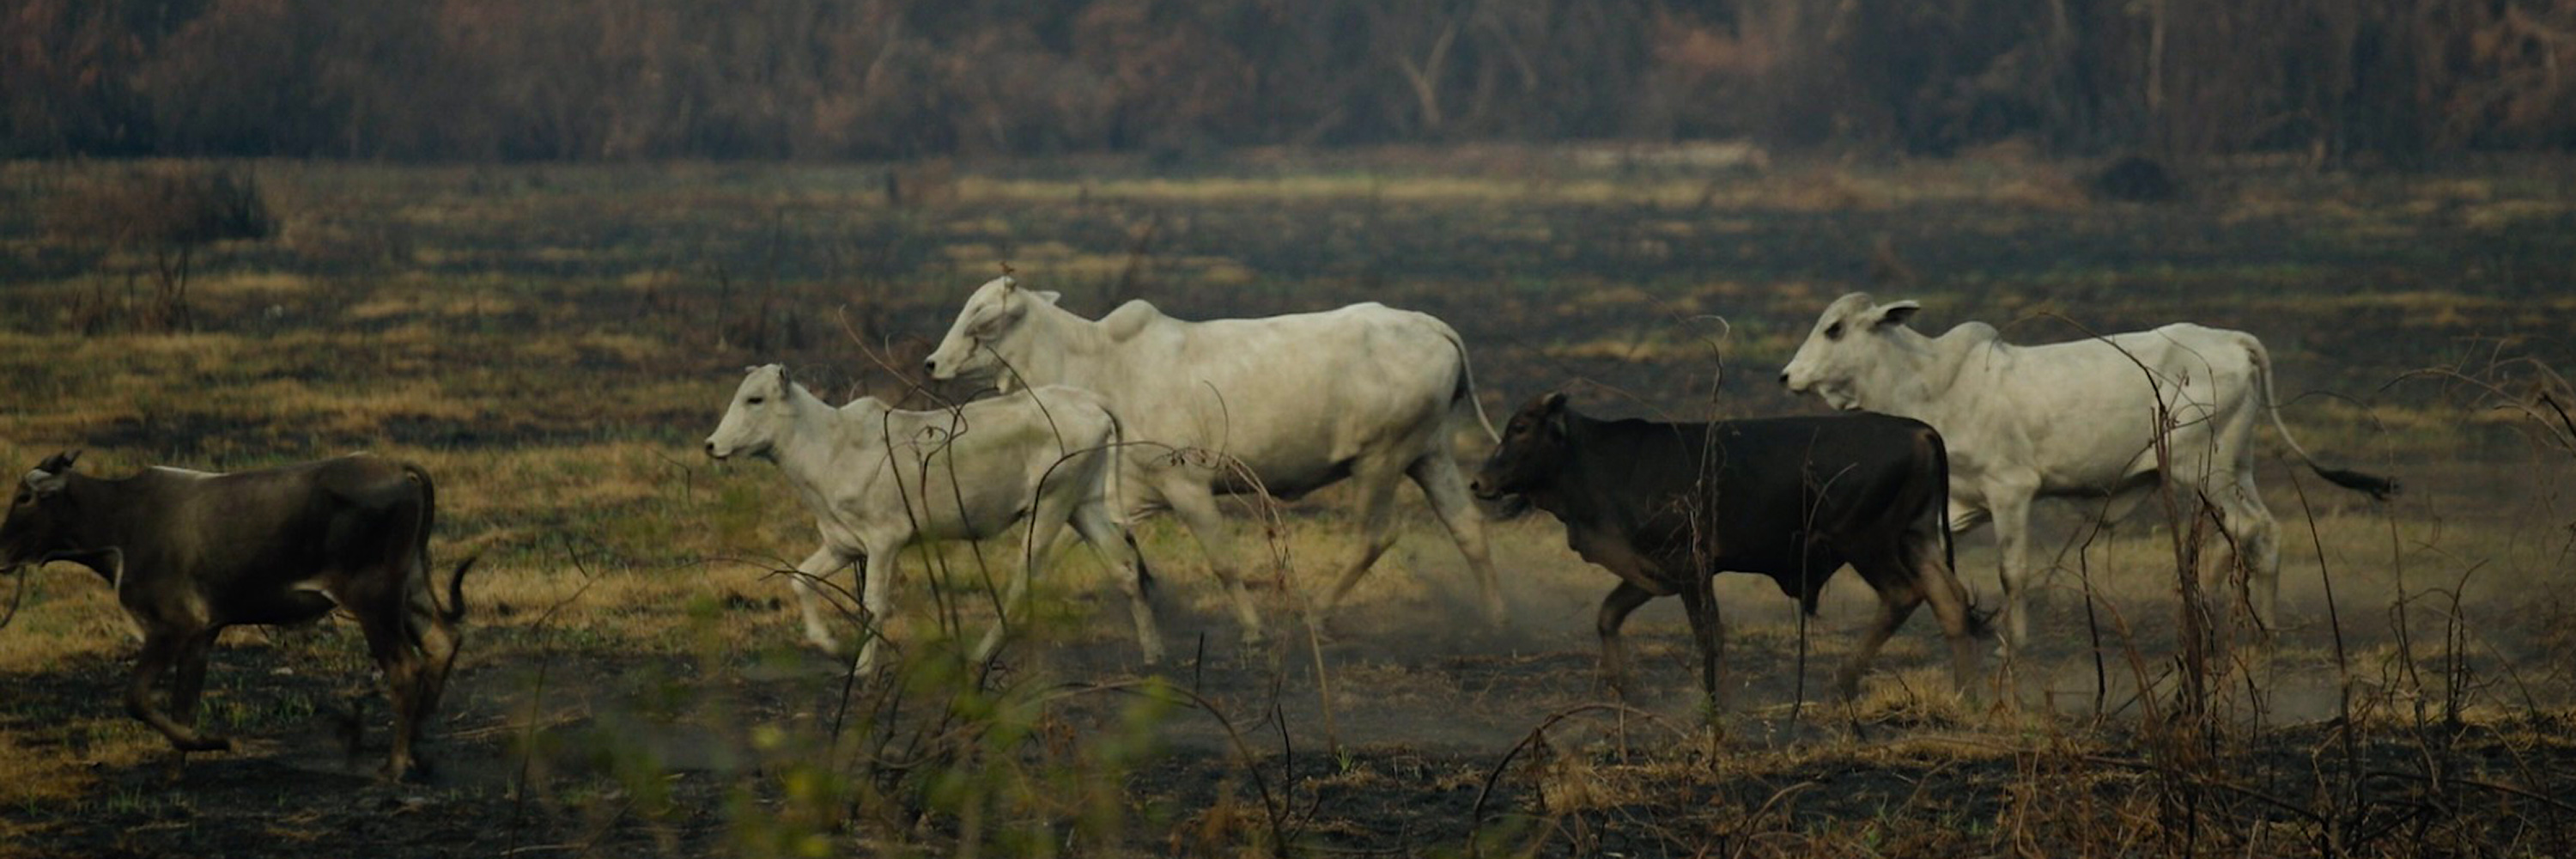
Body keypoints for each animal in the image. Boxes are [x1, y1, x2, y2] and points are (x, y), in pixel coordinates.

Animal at [2, 451, 477, 778]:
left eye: (24, 498)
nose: (1, 551)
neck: (124, 520)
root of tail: (396, 466)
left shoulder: (172, 627)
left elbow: (137, 698)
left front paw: (212, 743)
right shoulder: (202, 633)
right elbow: (183, 704)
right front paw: (179, 765)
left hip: (373, 601)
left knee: (405, 669)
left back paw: (393, 766)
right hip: (408, 587)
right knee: (441, 642)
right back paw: (417, 750)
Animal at [701, 361, 1154, 670]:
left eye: (755, 399)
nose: (711, 445)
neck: (829, 447)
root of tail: (1088, 400)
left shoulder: (885, 540)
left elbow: (874, 604)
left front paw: (864, 669)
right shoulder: (841, 544)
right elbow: (800, 580)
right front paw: (828, 644)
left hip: (1051, 506)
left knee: (1022, 584)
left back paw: (979, 656)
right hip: (1085, 505)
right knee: (1125, 566)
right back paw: (1154, 655)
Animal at [922, 276, 1504, 642]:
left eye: (982, 320)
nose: (932, 363)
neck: (1098, 364)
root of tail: (1431, 326)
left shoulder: (1186, 485)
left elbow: (1223, 563)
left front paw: (1253, 631)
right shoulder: (1122, 495)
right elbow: (1075, 556)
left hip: (1382, 459)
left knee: (1374, 536)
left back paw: (1317, 615)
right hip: (1429, 453)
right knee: (1468, 527)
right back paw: (1495, 618)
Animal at [1473, 394, 1989, 701]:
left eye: (1521, 428)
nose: (1480, 482)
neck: (1602, 462)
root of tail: (1918, 430)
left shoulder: (1689, 568)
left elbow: (1710, 636)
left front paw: (1717, 703)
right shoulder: (1654, 572)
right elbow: (1608, 615)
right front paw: (1626, 686)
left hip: (1867, 543)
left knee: (1903, 596)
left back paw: (1844, 680)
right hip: (1916, 538)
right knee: (1950, 603)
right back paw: (1965, 694)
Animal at [1772, 294, 2391, 649]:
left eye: (1834, 329)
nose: (1787, 376)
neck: (1929, 382)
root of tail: (2233, 341)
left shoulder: (2012, 491)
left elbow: (2012, 571)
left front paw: (2015, 642)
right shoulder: (1965, 503)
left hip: (2205, 469)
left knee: (2255, 534)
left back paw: (2262, 631)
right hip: (2231, 471)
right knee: (2250, 535)